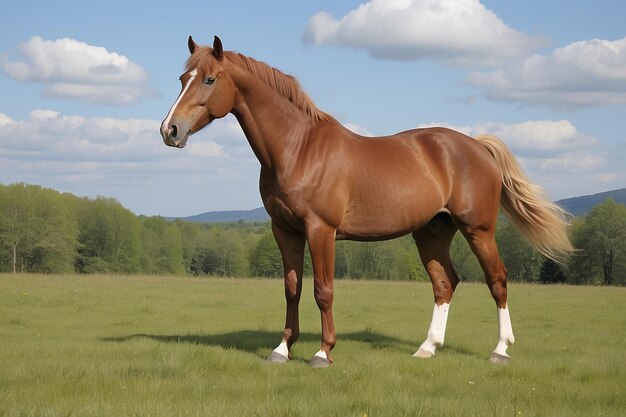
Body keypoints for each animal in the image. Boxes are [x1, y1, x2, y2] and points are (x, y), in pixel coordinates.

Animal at [160, 36, 572, 368]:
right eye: (182, 79)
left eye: (209, 79)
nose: (169, 130)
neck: (298, 148)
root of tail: (477, 147)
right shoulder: (285, 231)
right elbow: (292, 288)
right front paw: (281, 350)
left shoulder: (320, 230)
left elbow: (322, 290)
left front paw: (323, 352)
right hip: (432, 233)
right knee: (445, 284)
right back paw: (427, 348)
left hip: (478, 229)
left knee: (497, 280)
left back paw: (500, 350)